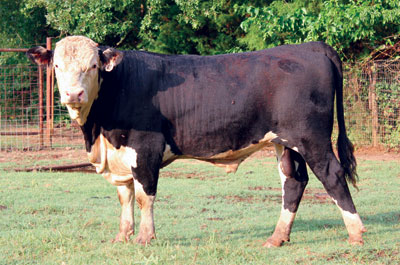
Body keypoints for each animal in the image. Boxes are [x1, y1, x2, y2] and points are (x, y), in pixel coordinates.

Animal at [27, 35, 366, 245]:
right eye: (57, 67)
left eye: (93, 66)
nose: (73, 94)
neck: (100, 133)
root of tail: (310, 46)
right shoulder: (119, 156)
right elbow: (125, 196)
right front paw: (123, 236)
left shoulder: (145, 150)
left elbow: (144, 196)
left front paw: (144, 238)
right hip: (284, 142)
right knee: (294, 182)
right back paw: (277, 238)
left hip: (311, 137)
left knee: (333, 175)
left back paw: (355, 233)